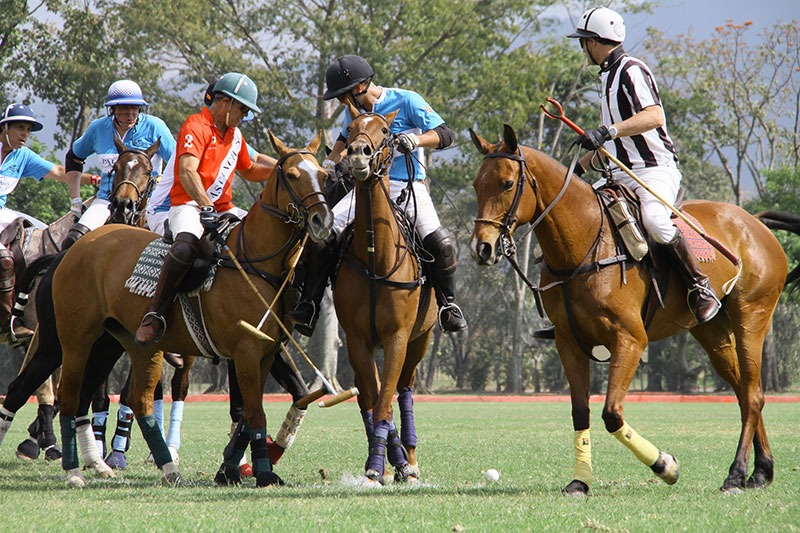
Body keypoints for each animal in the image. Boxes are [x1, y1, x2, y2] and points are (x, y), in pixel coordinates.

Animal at [51, 132, 332, 486]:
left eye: (323, 175)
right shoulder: (246, 350)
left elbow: (252, 411)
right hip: (77, 338)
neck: (257, 261)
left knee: (136, 399)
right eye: (293, 175)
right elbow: (254, 411)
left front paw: (235, 468)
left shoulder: (266, 352)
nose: (323, 221)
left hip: (133, 343)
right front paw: (262, 472)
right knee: (70, 396)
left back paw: (163, 467)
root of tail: (80, 245)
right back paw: (76, 471)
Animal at [334, 106, 440, 484]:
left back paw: (411, 459)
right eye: (349, 128)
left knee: (405, 389)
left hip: (421, 339)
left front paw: (387, 464)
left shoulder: (397, 336)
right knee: (370, 393)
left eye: (385, 130)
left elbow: (386, 400)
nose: (358, 155)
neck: (374, 258)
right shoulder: (357, 338)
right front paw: (379, 464)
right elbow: (374, 397)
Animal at [468, 124, 788, 494]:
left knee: (752, 394)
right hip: (711, 330)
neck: (582, 245)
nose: (482, 248)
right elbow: (580, 412)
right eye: (476, 184)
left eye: (507, 183)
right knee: (747, 390)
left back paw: (736, 474)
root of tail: (755, 221)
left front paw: (665, 465)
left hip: (752, 316)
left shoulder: (630, 339)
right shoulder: (568, 342)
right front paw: (579, 481)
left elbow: (611, 413)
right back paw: (761, 471)